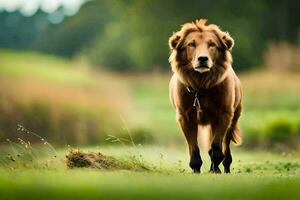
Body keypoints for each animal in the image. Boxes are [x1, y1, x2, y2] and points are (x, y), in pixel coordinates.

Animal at [168, 19, 243, 173]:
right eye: (191, 44)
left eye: (212, 44)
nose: (202, 58)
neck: (201, 85)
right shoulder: (185, 117)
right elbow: (194, 147)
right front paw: (196, 168)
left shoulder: (224, 115)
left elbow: (217, 147)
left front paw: (215, 169)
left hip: (234, 116)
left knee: (226, 145)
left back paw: (225, 167)